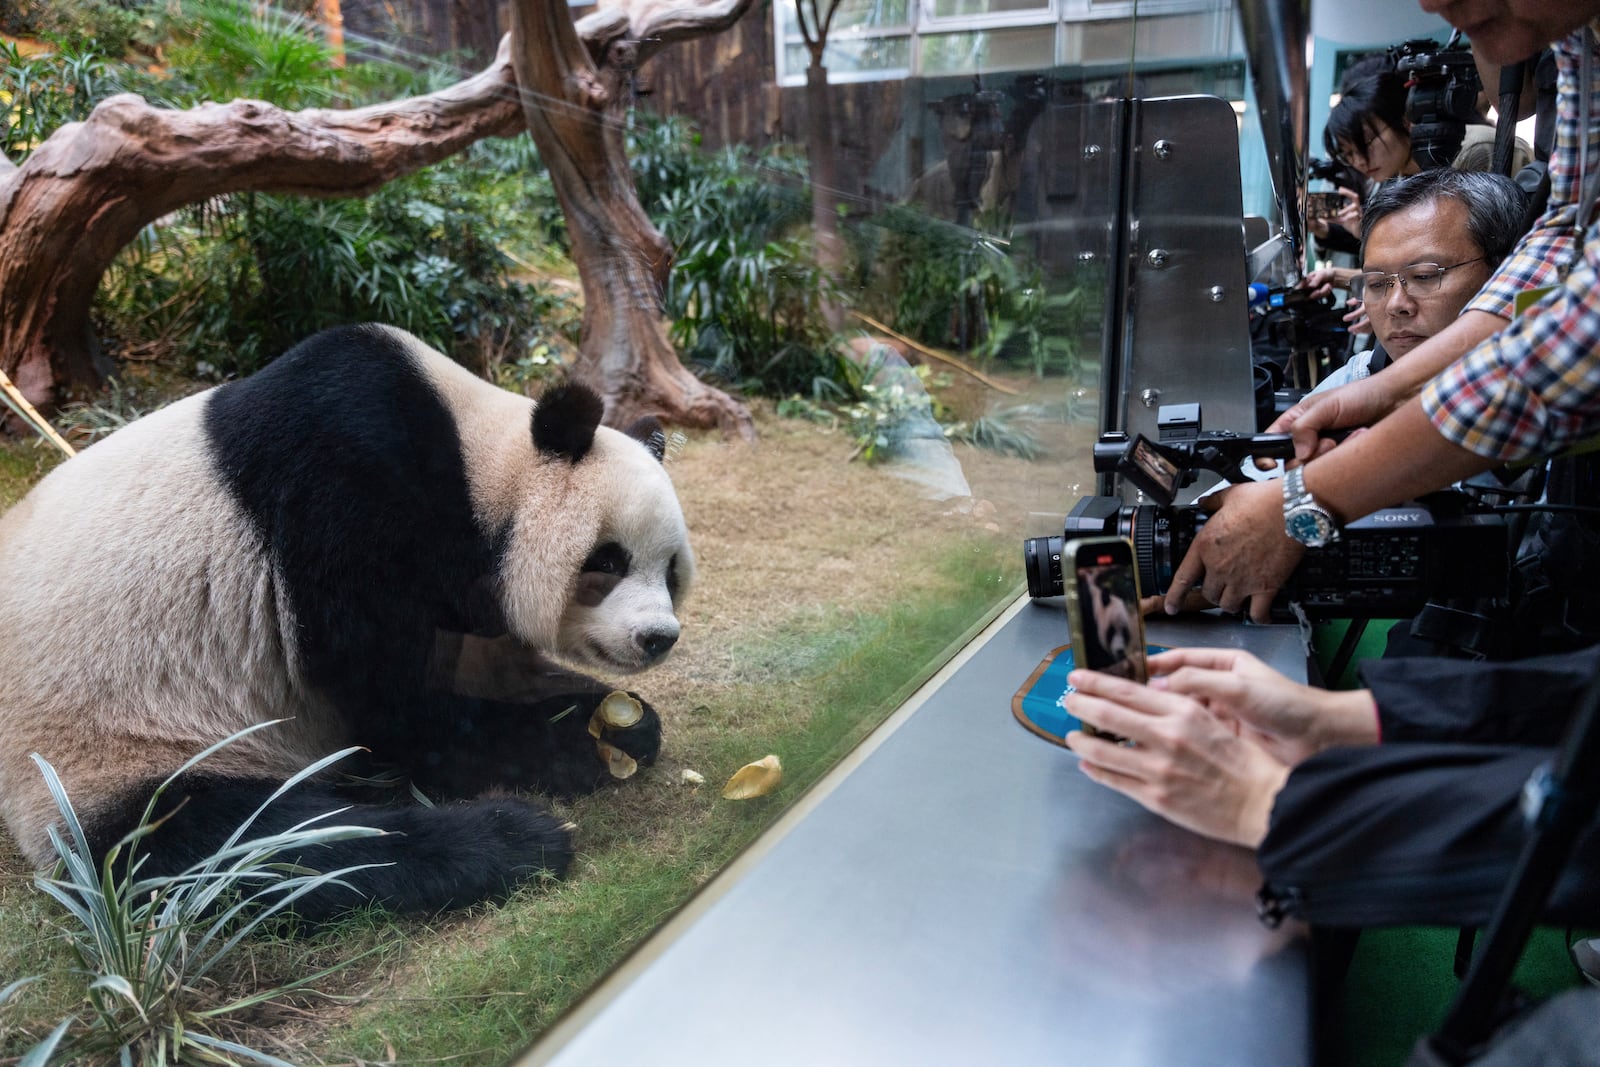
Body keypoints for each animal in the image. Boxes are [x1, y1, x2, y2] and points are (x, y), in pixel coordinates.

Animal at [0, 321, 694, 921]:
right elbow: (398, 711)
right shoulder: (342, 498)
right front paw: (576, 744)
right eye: (607, 560)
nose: (656, 638)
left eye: (670, 571)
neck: (475, 466)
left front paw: (622, 722)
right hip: (120, 744)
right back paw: (511, 840)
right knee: (251, 842)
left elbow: (483, 666)